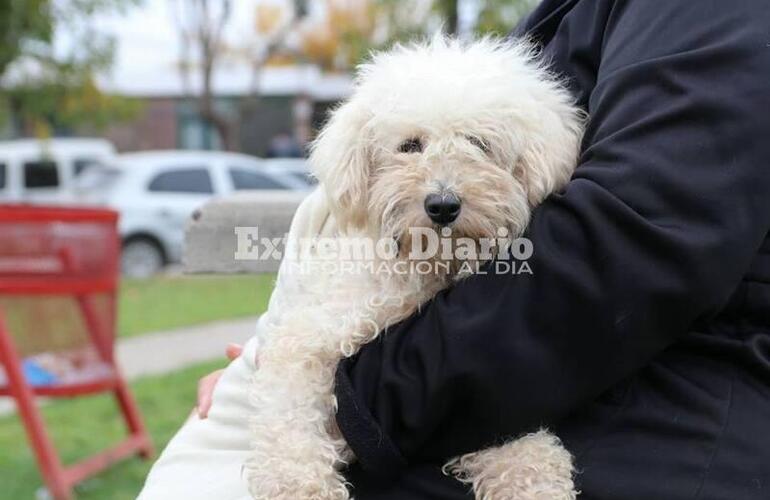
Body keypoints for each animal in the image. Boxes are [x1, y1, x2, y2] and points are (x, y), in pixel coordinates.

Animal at [240, 37, 584, 498]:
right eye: (410, 145)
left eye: (478, 143)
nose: (442, 204)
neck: (430, 266)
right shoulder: (313, 334)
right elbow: (288, 419)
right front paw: (299, 484)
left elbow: (496, 415)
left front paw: (532, 474)